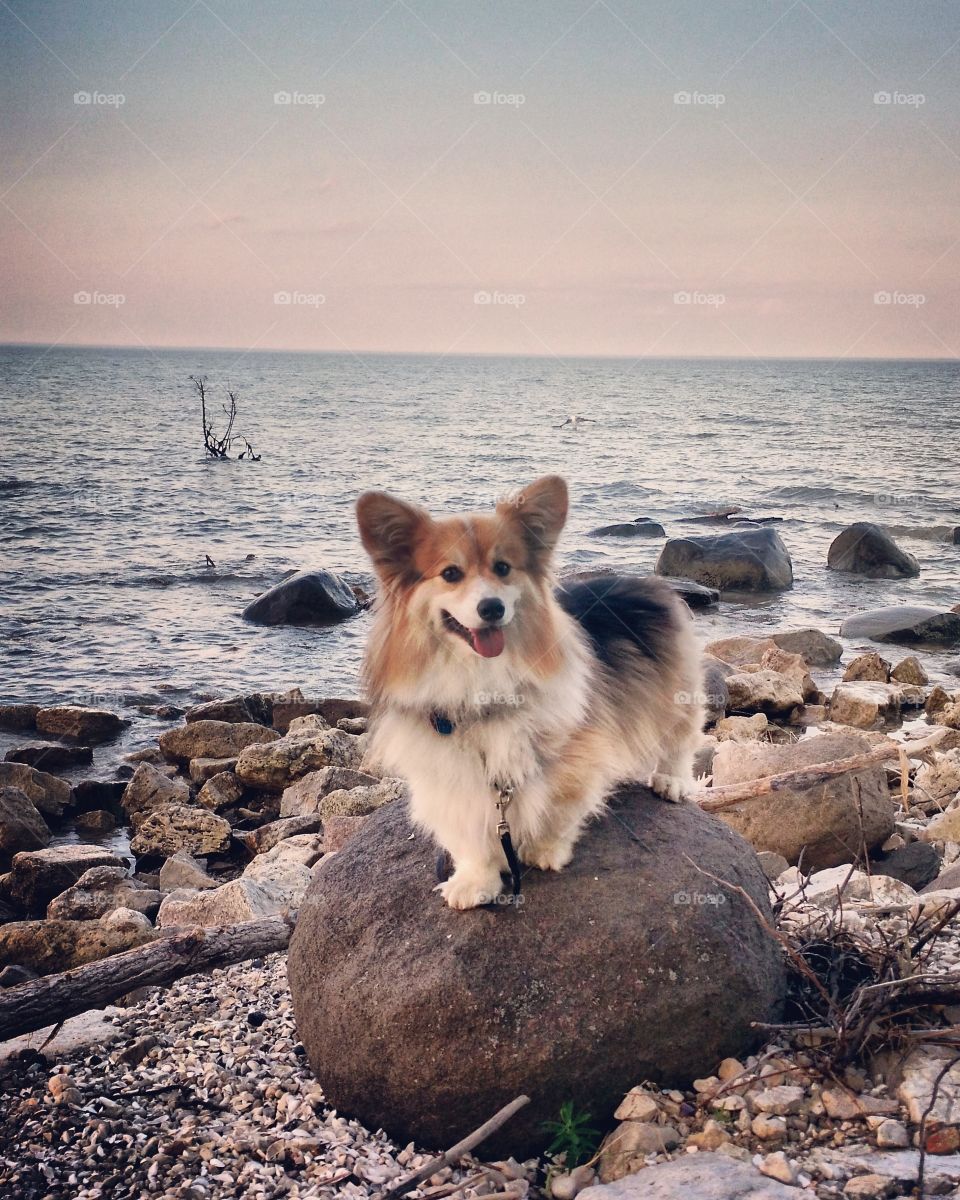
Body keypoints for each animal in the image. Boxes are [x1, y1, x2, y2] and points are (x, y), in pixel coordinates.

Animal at [355, 475, 700, 907]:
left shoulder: (574, 748)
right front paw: (475, 881)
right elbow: (467, 829)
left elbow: (560, 805)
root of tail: (643, 581)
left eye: (503, 568)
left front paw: (544, 850)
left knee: (680, 737)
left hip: (675, 693)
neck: (479, 677)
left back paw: (672, 780)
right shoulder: (449, 773)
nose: (491, 608)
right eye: (450, 573)